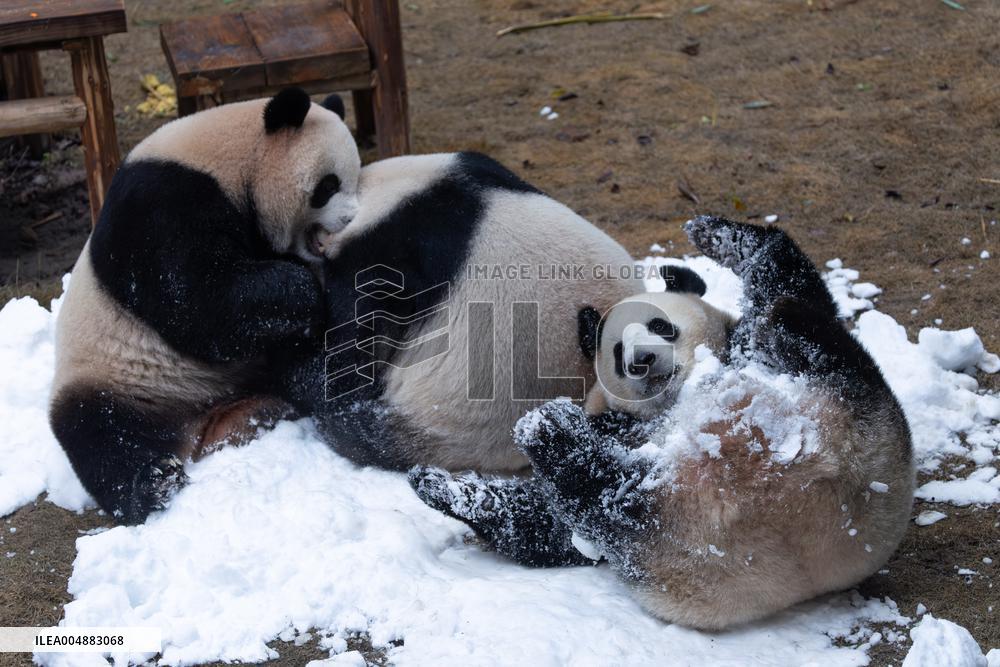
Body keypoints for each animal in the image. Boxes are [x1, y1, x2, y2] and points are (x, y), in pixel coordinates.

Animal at [49, 88, 361, 524]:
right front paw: (303, 286)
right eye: (327, 186)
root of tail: (198, 424)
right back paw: (153, 483)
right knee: (98, 432)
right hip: (111, 375)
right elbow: (198, 302)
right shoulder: (163, 204)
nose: (350, 219)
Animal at [409, 217, 915, 630]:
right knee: (592, 505)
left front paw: (712, 236)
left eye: (660, 325)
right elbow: (553, 527)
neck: (679, 398)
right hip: (667, 531)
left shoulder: (738, 351)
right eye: (617, 349)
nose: (642, 361)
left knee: (792, 308)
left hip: (857, 416)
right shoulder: (622, 428)